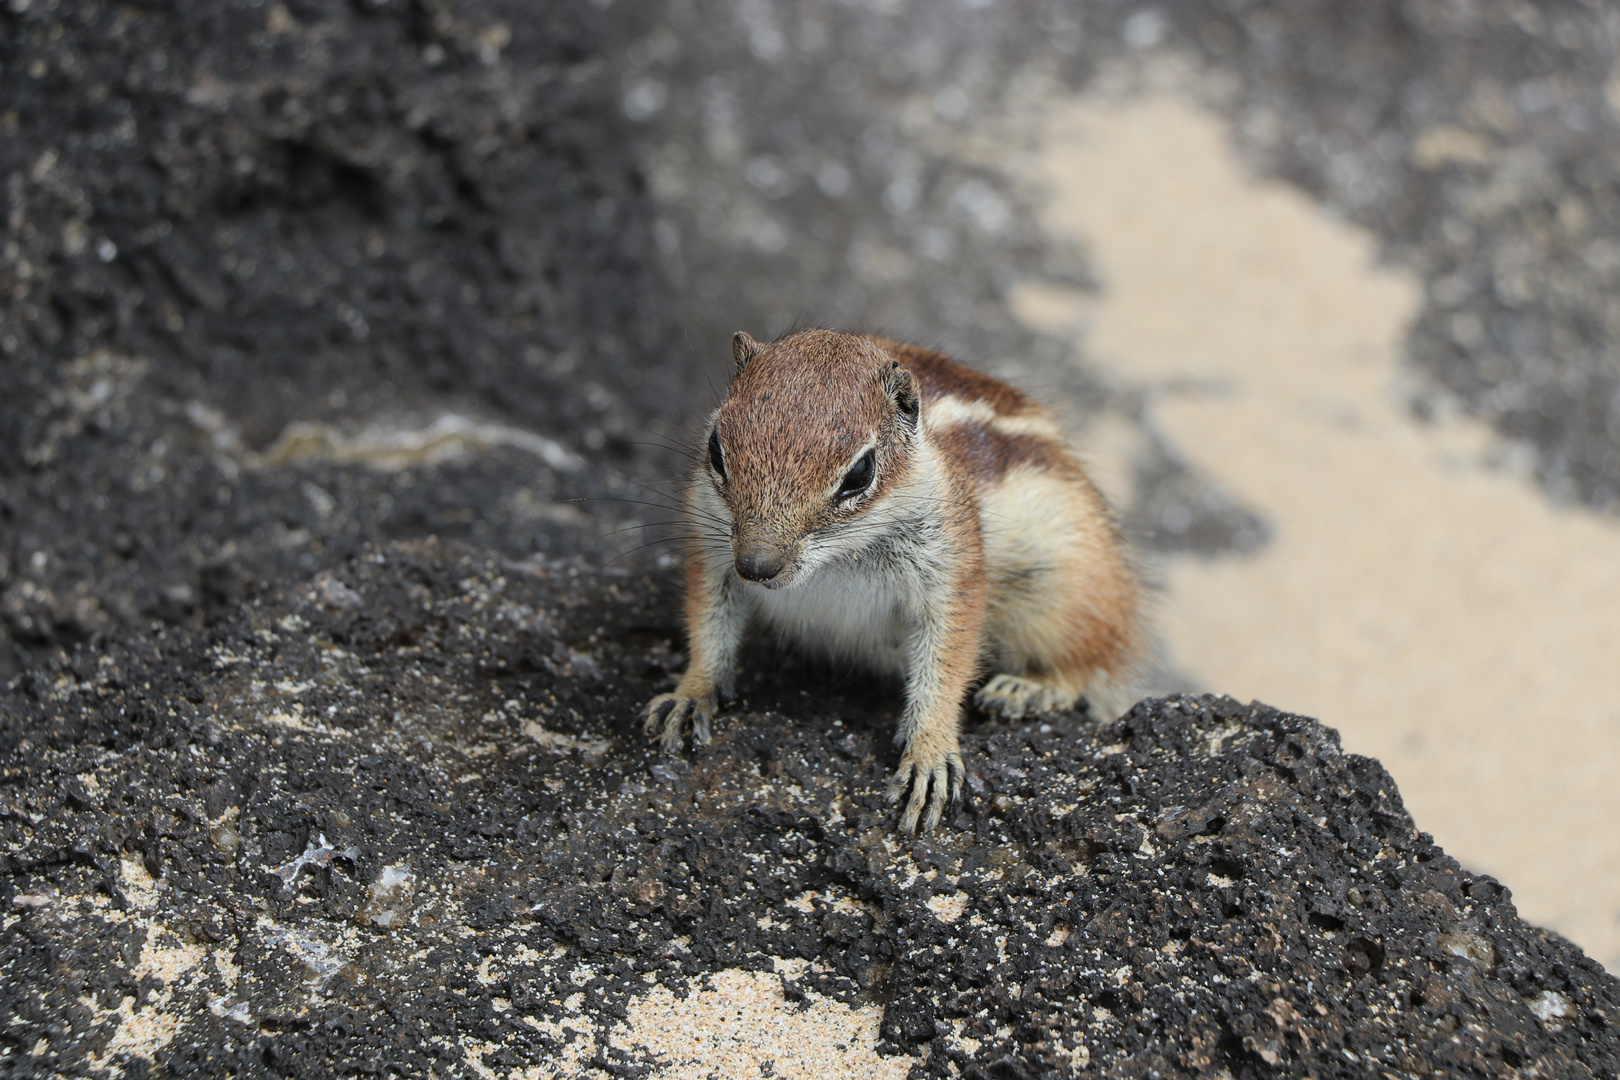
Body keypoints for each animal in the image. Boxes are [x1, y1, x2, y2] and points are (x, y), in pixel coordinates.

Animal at [638, 327, 1146, 829]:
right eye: (715, 449)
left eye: (859, 474)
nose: (757, 565)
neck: (835, 559)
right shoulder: (713, 550)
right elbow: (708, 625)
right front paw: (691, 691)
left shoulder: (951, 572)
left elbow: (947, 663)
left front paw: (930, 750)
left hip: (1067, 592)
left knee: (1091, 661)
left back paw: (1029, 688)